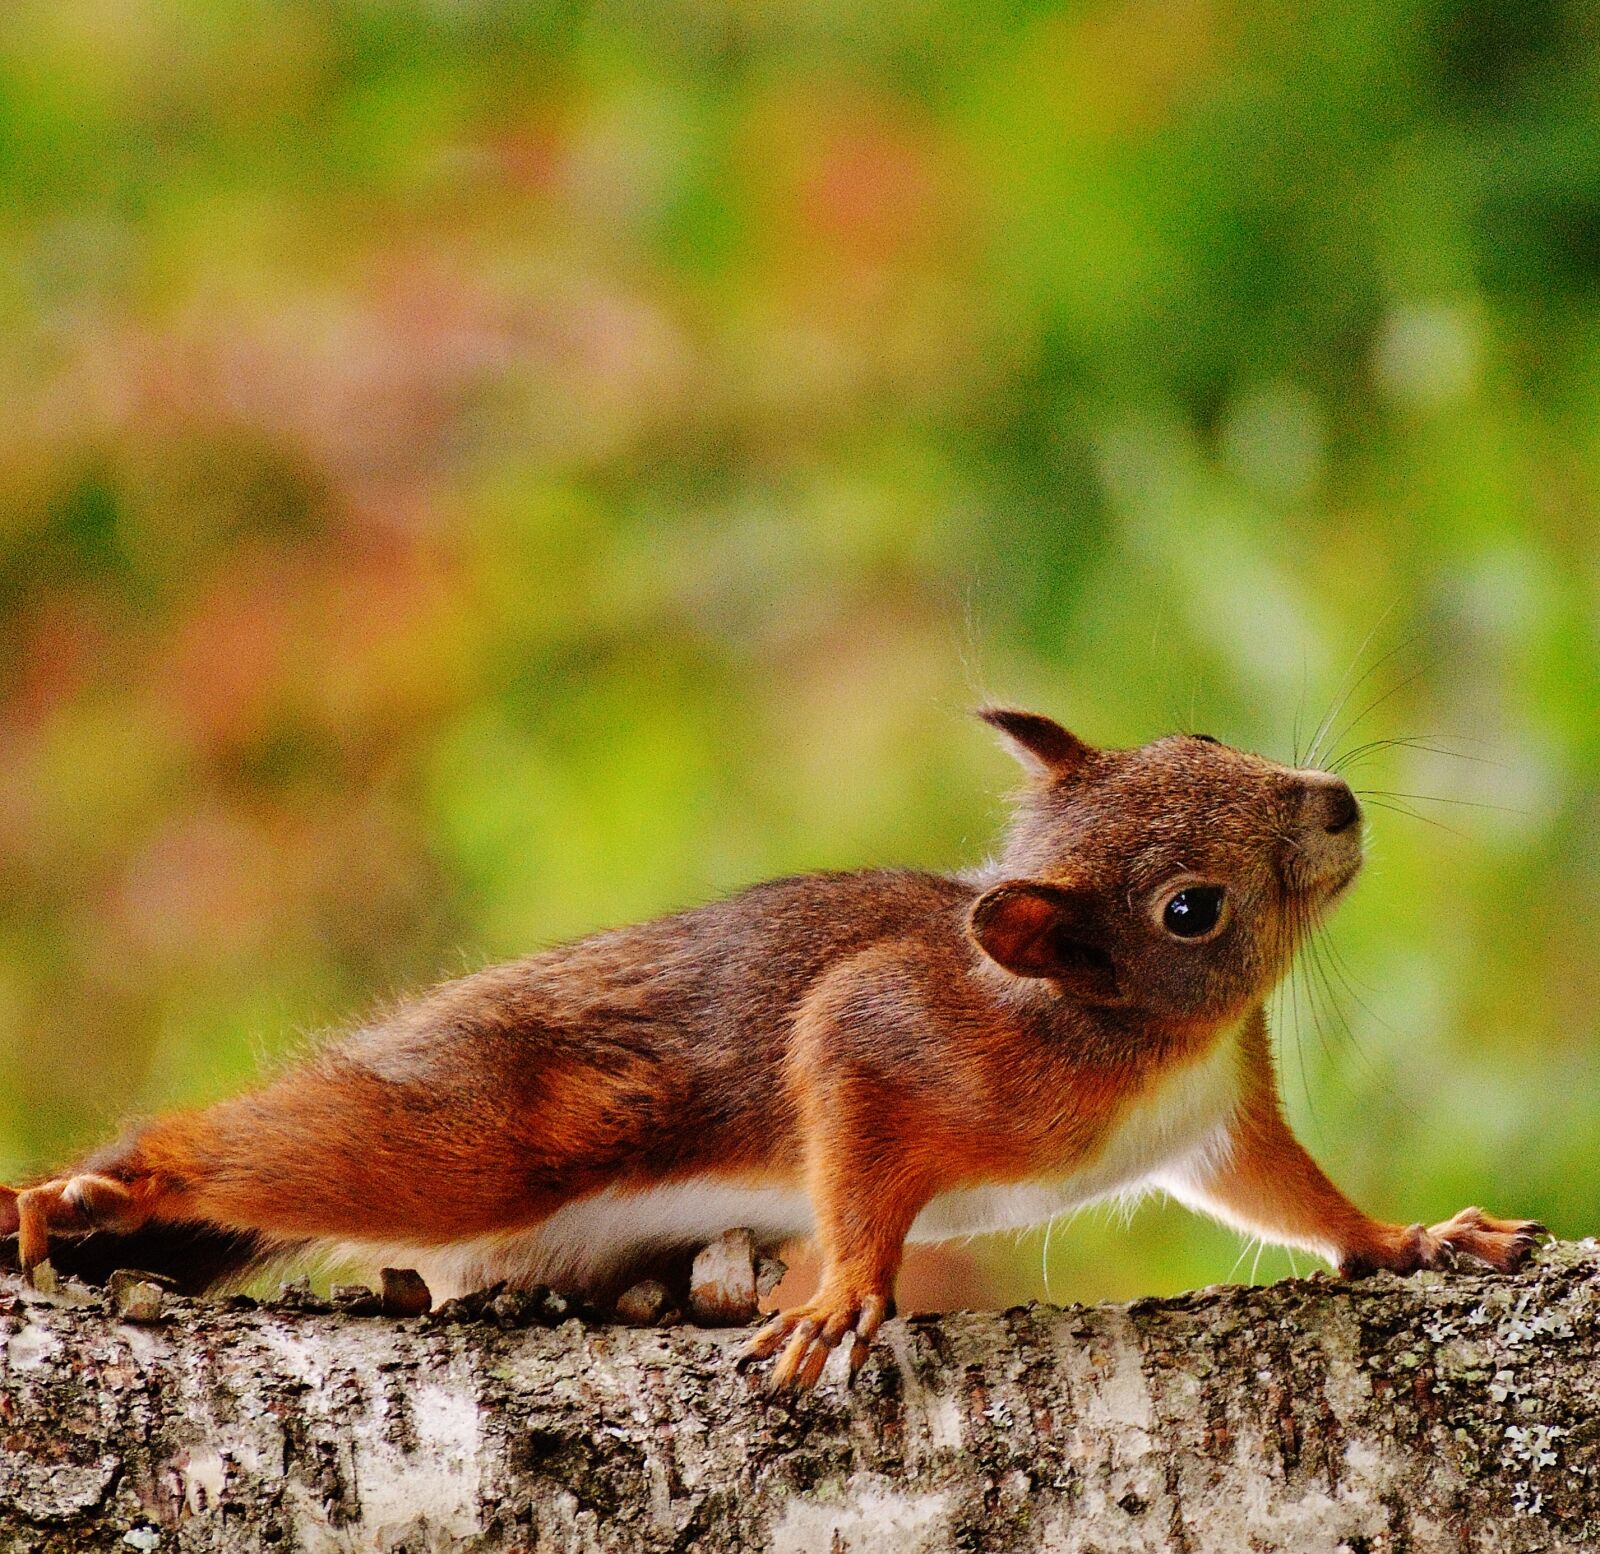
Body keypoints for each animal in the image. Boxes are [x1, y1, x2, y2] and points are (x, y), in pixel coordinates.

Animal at [1, 707, 1542, 1388]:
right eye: (1189, 909)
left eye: (1201, 738)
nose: (1338, 802)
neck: (1151, 1039)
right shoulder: (888, 1035)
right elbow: (844, 1108)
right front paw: (847, 1290)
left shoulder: (1220, 1120)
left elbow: (1298, 1200)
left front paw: (1415, 1239)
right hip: (476, 1142)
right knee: (293, 1148)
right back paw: (98, 1190)